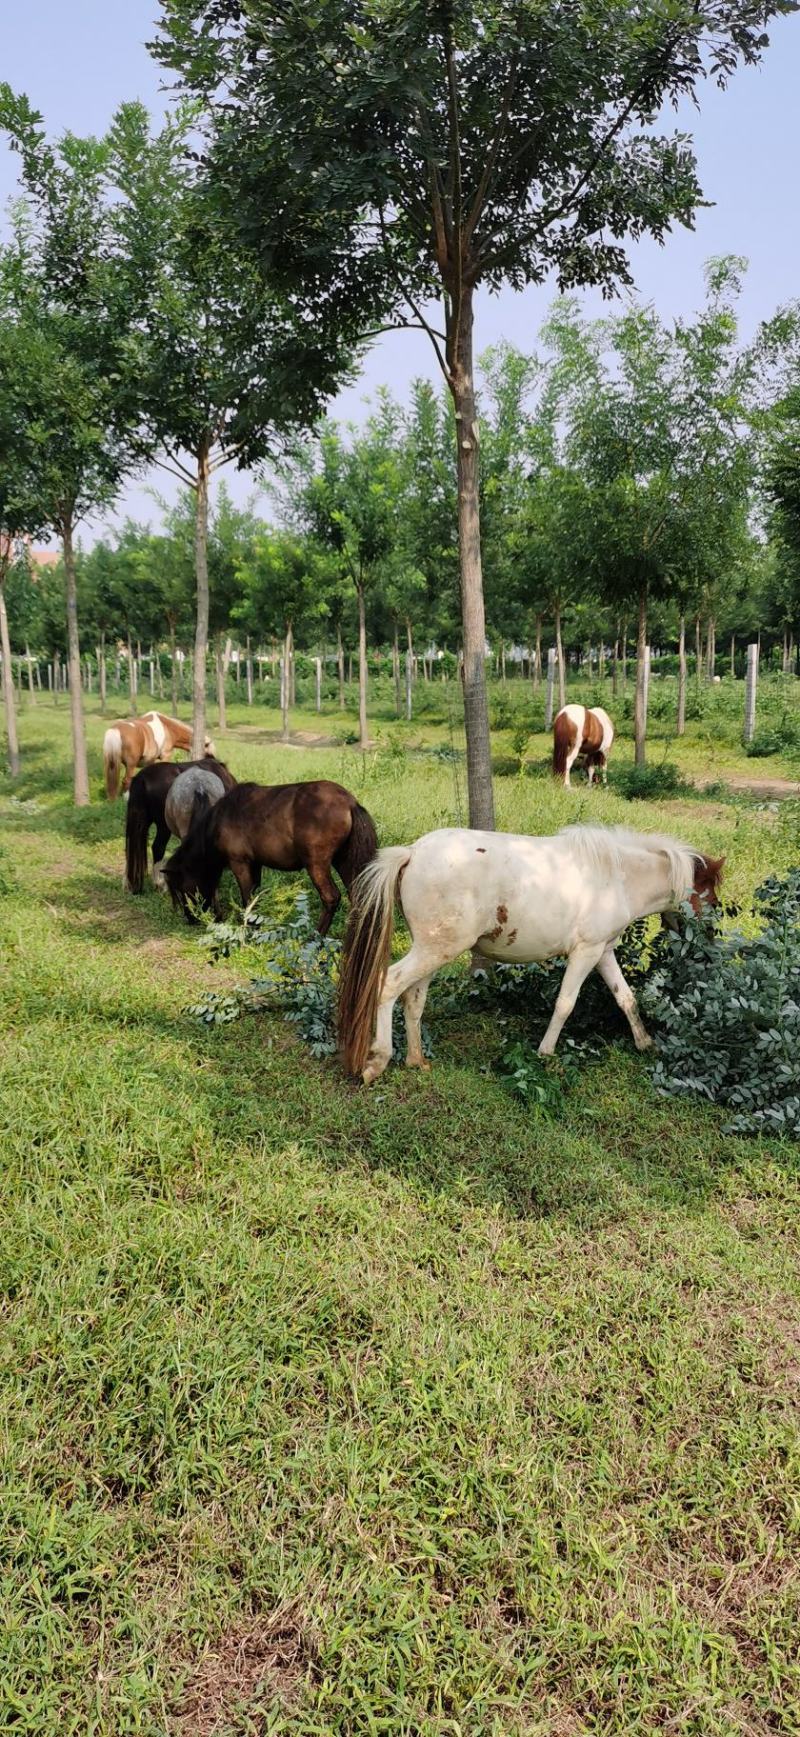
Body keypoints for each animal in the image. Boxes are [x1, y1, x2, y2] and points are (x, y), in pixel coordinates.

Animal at [163, 779, 379, 934]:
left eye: (180, 890)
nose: (190, 919)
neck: (217, 823)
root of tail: (350, 802)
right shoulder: (255, 864)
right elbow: (255, 896)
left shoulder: (239, 863)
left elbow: (247, 898)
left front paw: (249, 929)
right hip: (343, 860)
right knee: (358, 895)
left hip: (317, 864)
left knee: (331, 898)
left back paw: (316, 937)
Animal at [338, 824, 724, 1084]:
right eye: (713, 901)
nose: (710, 941)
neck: (618, 877)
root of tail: (412, 853)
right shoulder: (585, 953)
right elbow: (565, 1003)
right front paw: (545, 1052)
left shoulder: (602, 952)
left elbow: (625, 998)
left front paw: (645, 1043)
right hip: (436, 950)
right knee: (390, 985)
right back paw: (378, 1061)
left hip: (435, 950)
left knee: (414, 999)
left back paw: (416, 1060)